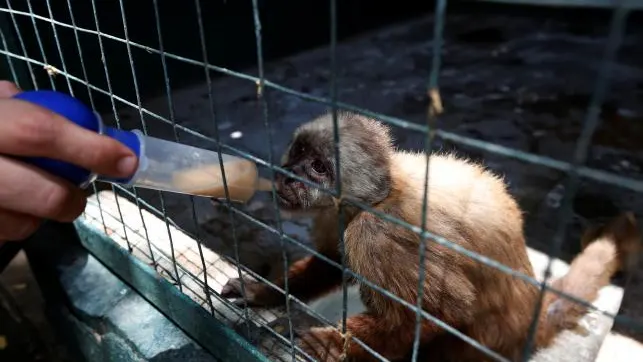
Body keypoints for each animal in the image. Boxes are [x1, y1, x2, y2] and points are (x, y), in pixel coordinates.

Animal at [220, 111, 640, 360]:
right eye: (299, 152)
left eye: (319, 167)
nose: (289, 175)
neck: (380, 195)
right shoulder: (335, 214)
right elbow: (330, 263)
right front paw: (263, 291)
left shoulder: (378, 233)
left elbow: (441, 314)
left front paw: (333, 343)